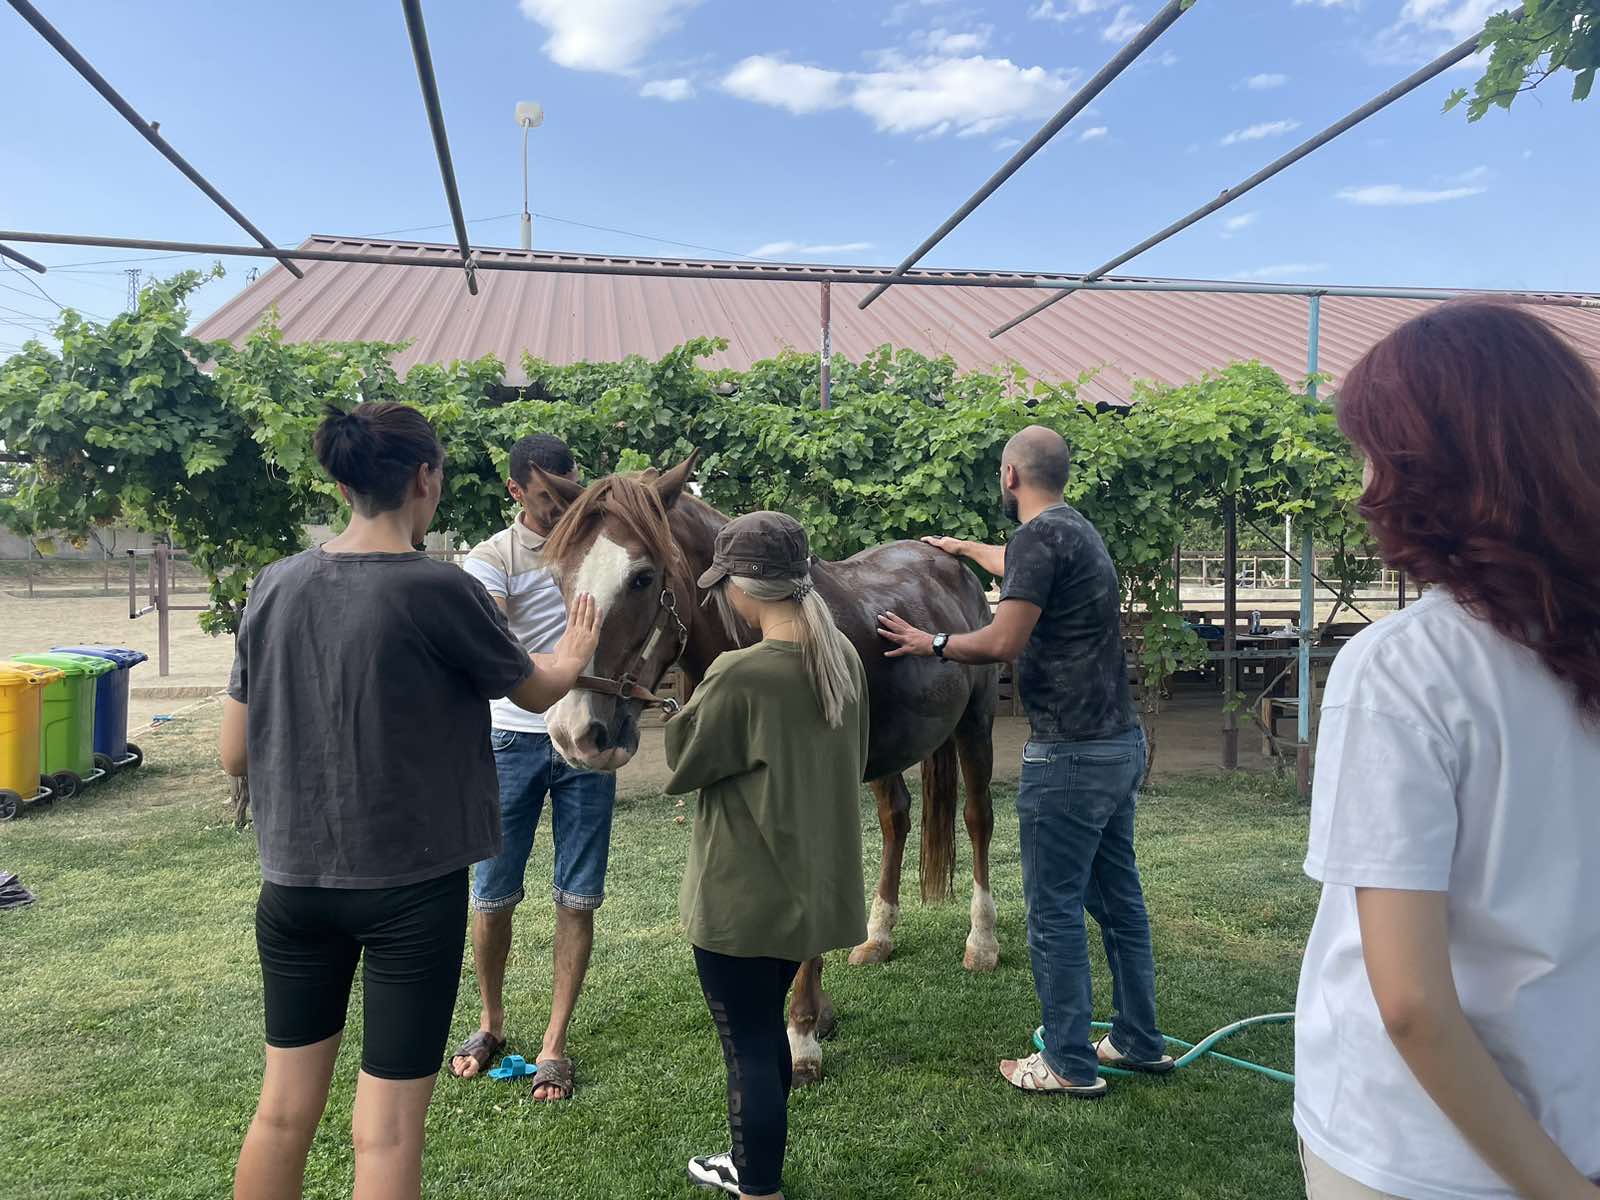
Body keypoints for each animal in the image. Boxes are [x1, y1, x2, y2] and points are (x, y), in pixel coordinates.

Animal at [531, 454, 992, 1088]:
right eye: (558, 578)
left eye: (643, 578)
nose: (576, 733)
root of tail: (950, 565)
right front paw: (815, 1013)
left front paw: (802, 1036)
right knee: (896, 818)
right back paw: (877, 937)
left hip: (976, 723)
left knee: (977, 818)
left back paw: (982, 942)